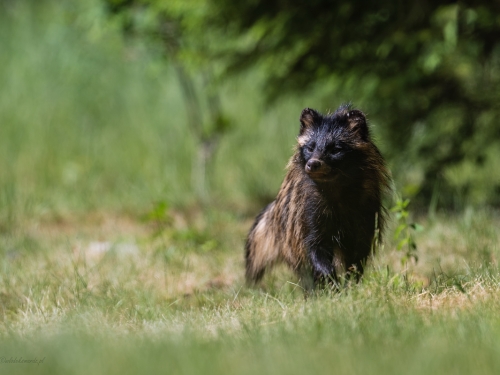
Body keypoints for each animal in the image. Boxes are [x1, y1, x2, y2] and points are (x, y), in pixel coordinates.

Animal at [246, 105, 390, 288]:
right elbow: (314, 247)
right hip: (289, 235)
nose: (313, 164)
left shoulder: (366, 211)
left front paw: (351, 283)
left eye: (336, 149)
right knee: (303, 268)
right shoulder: (308, 211)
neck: (335, 189)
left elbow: (358, 255)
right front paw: (329, 278)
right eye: (310, 147)